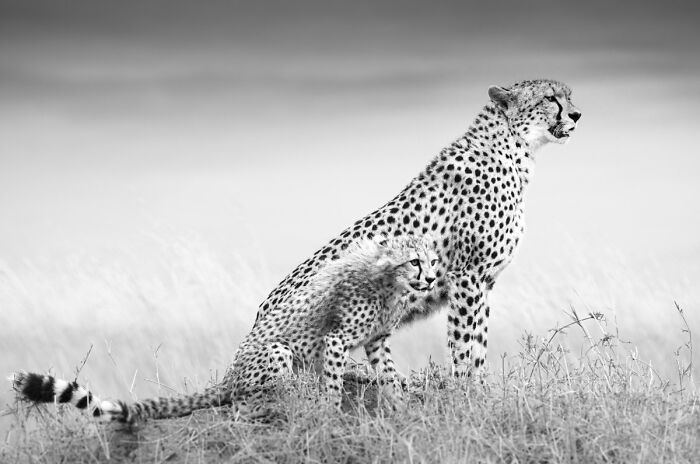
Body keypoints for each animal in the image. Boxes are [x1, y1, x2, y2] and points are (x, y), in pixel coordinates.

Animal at [12, 234, 438, 422]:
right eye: (414, 261)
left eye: (433, 260)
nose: (433, 278)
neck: (390, 282)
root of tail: (229, 377)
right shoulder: (335, 339)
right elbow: (333, 386)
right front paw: (330, 416)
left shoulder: (377, 341)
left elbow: (390, 373)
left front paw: (401, 403)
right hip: (276, 353)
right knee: (250, 400)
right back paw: (288, 398)